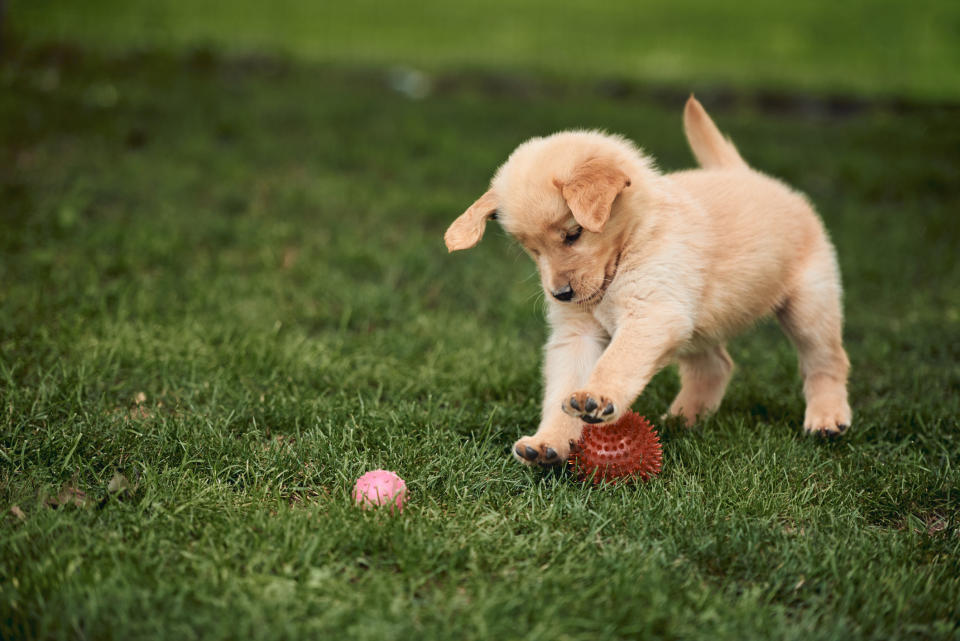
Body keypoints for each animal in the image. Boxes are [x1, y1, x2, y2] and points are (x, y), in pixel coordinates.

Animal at [446, 96, 852, 464]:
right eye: (531, 250)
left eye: (574, 234)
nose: (560, 294)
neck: (633, 240)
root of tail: (748, 174)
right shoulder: (579, 332)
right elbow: (564, 384)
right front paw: (549, 442)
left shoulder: (651, 312)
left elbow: (617, 360)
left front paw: (598, 396)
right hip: (696, 324)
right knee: (716, 366)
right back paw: (683, 419)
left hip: (809, 304)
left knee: (826, 361)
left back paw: (827, 419)